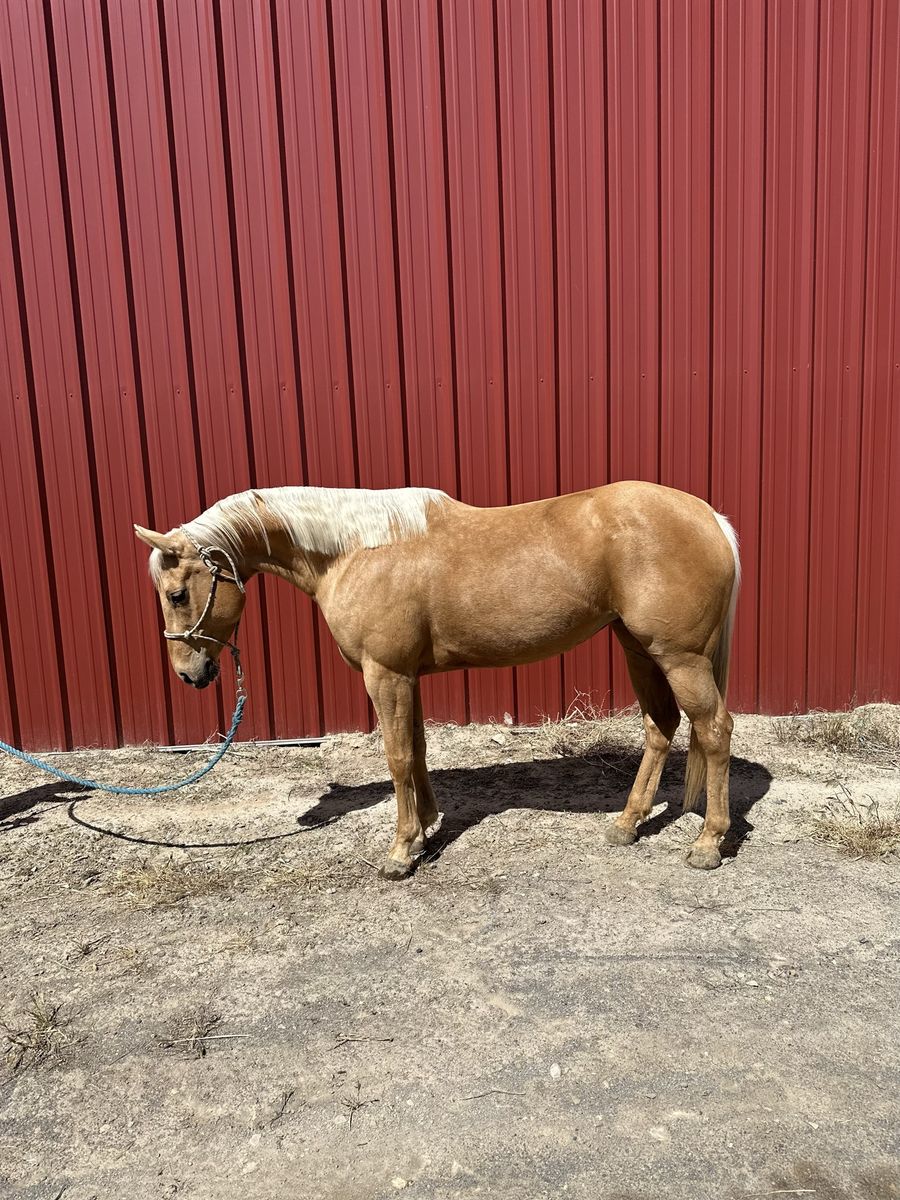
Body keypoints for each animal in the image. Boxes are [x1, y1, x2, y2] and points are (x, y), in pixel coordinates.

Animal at [135, 481, 740, 879]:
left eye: (177, 593)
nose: (191, 673)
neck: (356, 550)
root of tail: (711, 518)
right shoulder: (408, 676)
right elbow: (419, 750)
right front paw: (427, 826)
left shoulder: (386, 675)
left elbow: (399, 756)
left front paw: (403, 851)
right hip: (639, 649)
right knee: (660, 725)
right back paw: (627, 824)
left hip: (680, 657)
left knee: (713, 729)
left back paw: (708, 842)